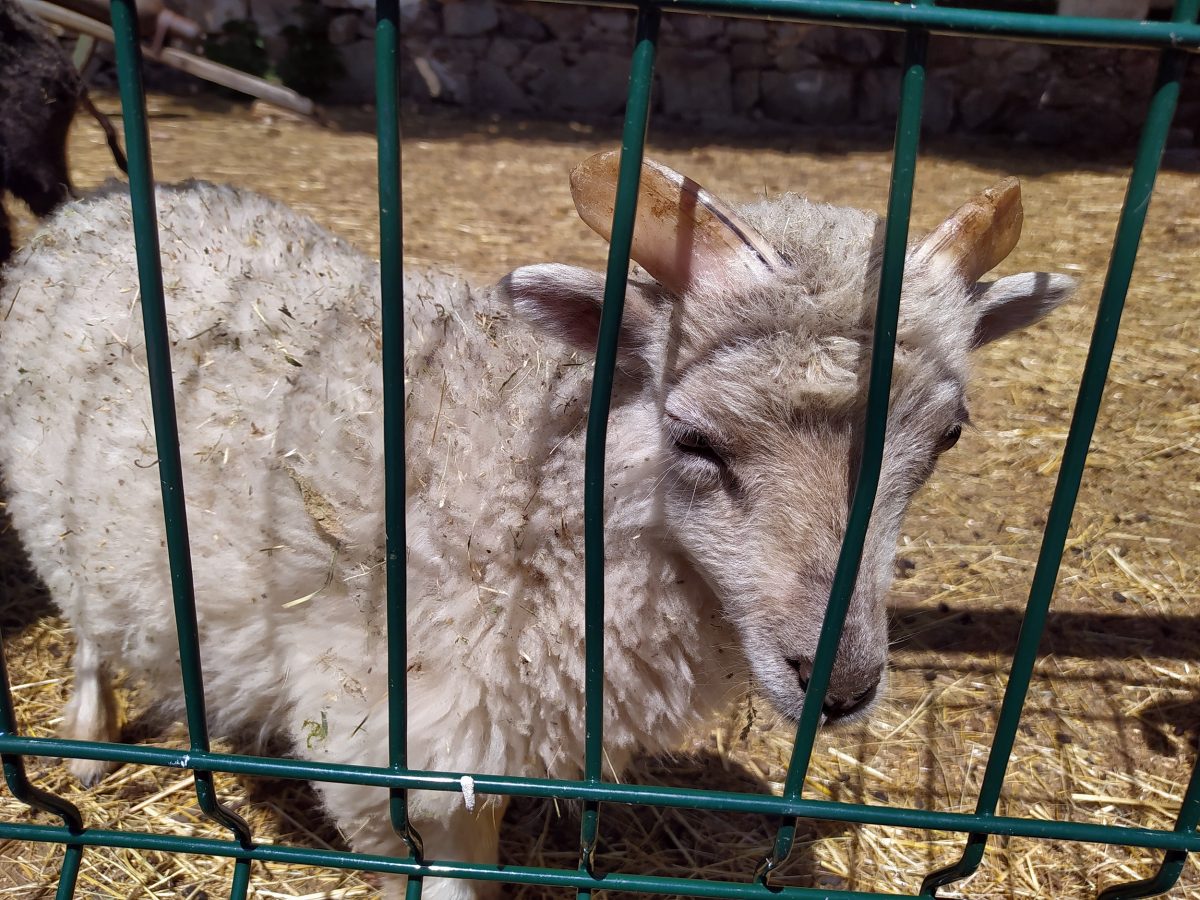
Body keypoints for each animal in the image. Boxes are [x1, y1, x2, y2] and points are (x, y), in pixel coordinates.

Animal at [0, 152, 1074, 898]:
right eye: (692, 438)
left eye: (947, 435)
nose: (840, 685)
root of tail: (100, 201)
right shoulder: (393, 740)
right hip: (62, 524)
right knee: (90, 633)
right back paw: (87, 743)